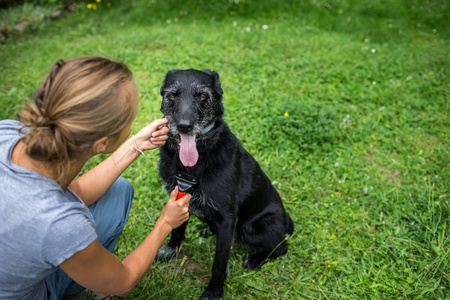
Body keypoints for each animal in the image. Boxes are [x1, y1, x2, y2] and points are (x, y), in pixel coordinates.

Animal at [156, 68, 294, 300]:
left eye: (203, 96)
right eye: (172, 95)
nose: (184, 126)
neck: (192, 166)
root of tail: (285, 219)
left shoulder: (228, 219)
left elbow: (219, 262)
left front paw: (214, 291)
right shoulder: (179, 199)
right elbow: (176, 230)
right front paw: (170, 250)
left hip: (252, 229)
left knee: (281, 246)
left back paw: (256, 259)